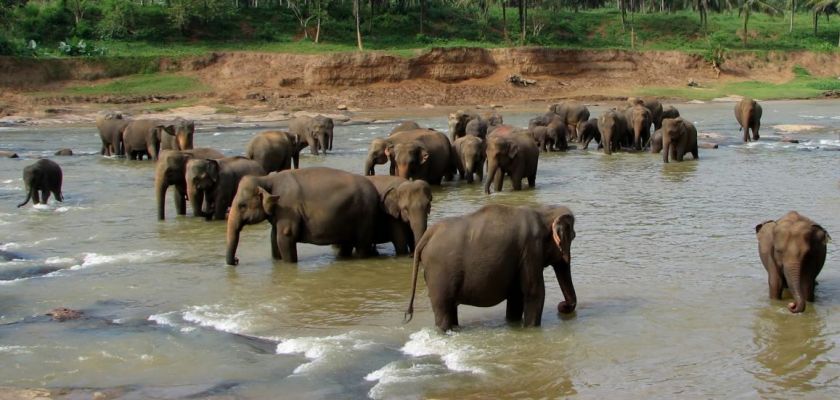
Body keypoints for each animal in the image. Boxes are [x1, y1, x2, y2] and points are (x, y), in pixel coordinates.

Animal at [225, 166, 378, 266]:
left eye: (242, 205)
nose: (237, 260)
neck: (267, 179)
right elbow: (274, 238)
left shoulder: (288, 208)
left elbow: (285, 237)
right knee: (346, 245)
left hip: (365, 216)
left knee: (361, 246)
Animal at [406, 203, 576, 332]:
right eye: (573, 237)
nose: (562, 306)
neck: (544, 212)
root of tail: (427, 235)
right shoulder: (531, 249)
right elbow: (534, 293)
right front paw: (530, 329)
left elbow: (516, 296)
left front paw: (514, 326)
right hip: (439, 274)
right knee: (443, 310)